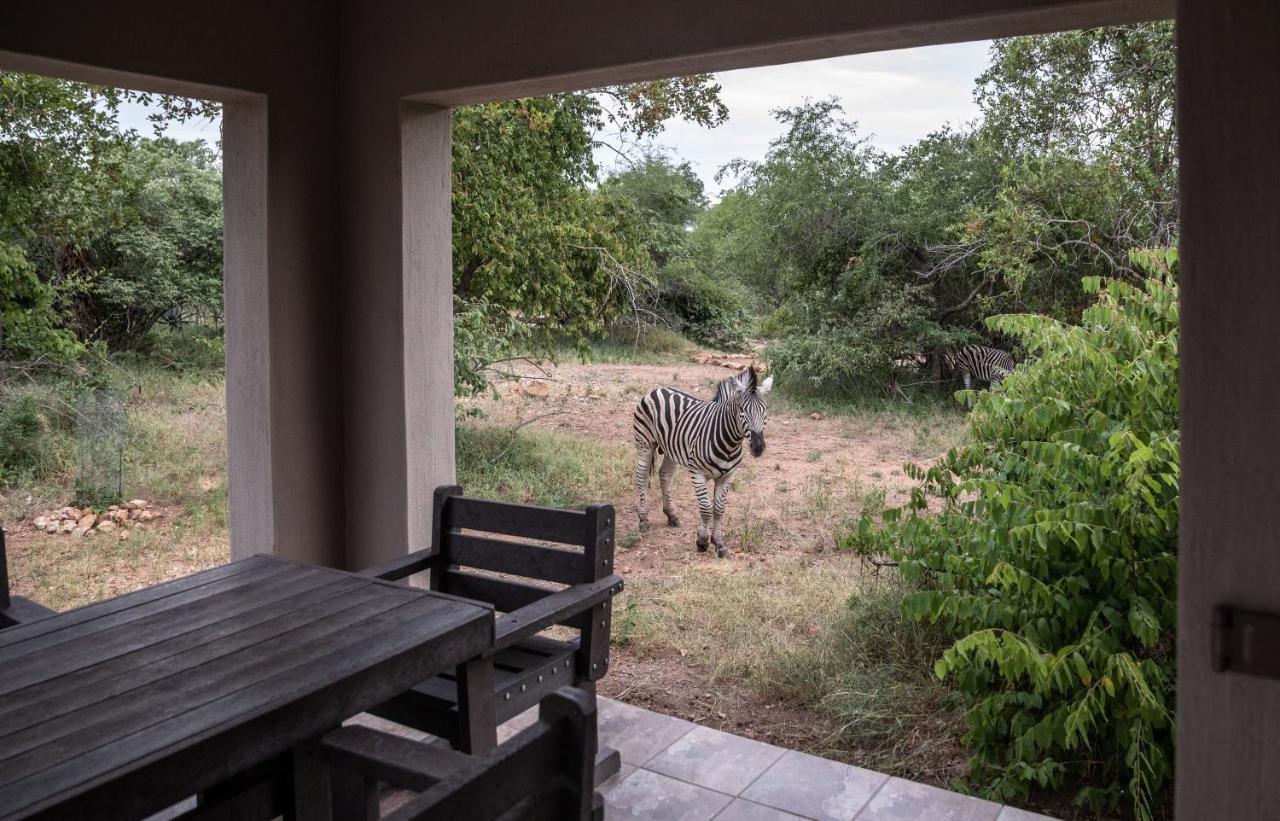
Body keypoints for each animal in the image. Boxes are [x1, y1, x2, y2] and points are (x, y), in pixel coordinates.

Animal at [634, 363, 773, 558]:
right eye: (742, 411)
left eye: (765, 410)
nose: (758, 447)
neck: (729, 442)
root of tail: (658, 389)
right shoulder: (697, 473)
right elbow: (706, 507)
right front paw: (702, 541)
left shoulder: (728, 476)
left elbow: (718, 509)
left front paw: (719, 544)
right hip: (645, 445)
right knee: (641, 477)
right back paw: (643, 520)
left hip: (671, 449)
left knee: (664, 475)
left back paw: (671, 515)